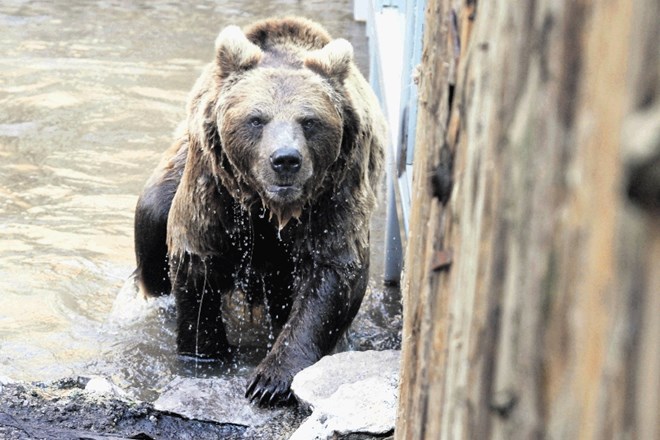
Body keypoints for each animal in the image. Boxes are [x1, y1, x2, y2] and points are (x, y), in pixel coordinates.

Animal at [131, 17, 384, 406]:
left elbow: (332, 272)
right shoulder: (215, 187)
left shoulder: (336, 191)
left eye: (309, 120)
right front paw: (205, 355)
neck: (273, 209)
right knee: (153, 217)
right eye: (256, 119)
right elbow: (197, 262)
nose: (286, 159)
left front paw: (269, 381)